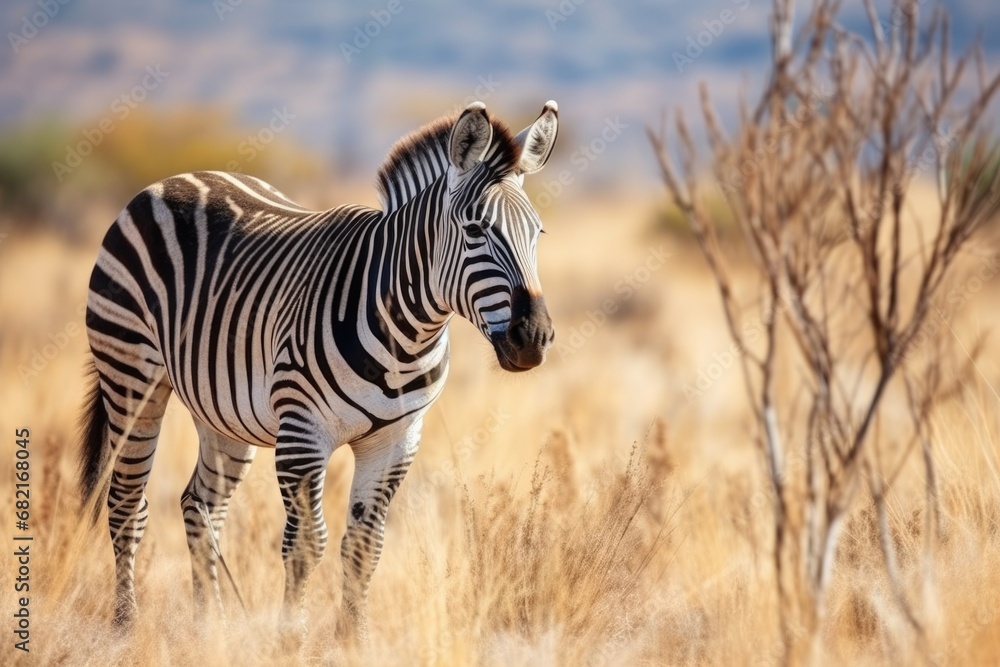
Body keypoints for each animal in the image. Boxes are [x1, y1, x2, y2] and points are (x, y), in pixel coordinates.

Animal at [78, 100, 559, 638]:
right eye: (475, 231)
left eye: (537, 233)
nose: (533, 338)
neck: (406, 333)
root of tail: (175, 178)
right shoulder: (302, 435)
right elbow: (307, 544)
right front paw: (292, 638)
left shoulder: (395, 441)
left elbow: (365, 546)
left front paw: (354, 638)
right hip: (130, 374)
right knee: (127, 504)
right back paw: (126, 624)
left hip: (221, 410)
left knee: (199, 505)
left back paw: (211, 627)